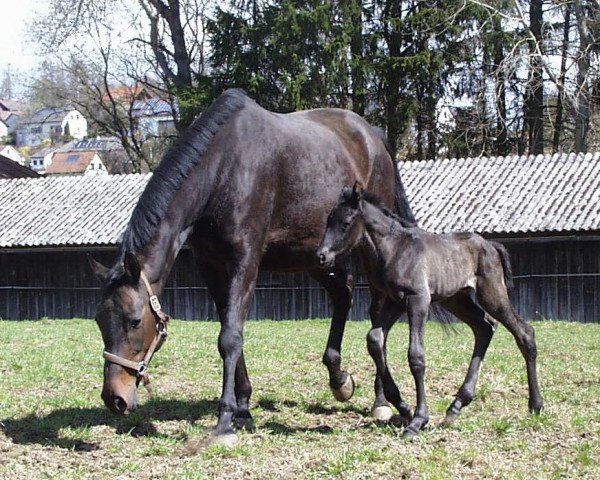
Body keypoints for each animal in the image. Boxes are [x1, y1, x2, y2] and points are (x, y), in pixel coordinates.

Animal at [318, 184, 544, 438]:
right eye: (328, 220)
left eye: (346, 223)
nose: (322, 256)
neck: (394, 248)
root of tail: (491, 246)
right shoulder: (396, 301)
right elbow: (375, 339)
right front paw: (404, 407)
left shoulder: (419, 300)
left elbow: (416, 356)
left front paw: (418, 420)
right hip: (456, 299)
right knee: (484, 327)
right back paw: (456, 406)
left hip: (492, 294)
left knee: (523, 332)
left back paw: (535, 405)